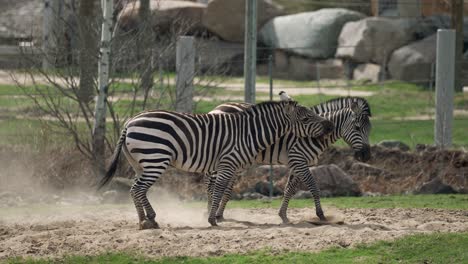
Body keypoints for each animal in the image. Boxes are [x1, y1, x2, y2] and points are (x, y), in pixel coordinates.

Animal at [98, 100, 334, 228]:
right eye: (305, 119)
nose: (330, 126)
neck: (248, 133)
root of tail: (129, 122)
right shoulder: (228, 162)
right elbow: (219, 189)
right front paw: (212, 219)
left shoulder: (228, 165)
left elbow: (219, 191)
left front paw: (213, 215)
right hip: (155, 159)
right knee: (138, 189)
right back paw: (145, 221)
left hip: (140, 163)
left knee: (136, 189)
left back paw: (148, 220)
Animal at [207, 95, 372, 223]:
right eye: (357, 128)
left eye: (370, 129)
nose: (366, 156)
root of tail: (218, 106)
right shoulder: (298, 159)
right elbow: (313, 186)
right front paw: (321, 215)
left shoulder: (298, 163)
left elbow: (289, 189)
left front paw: (283, 215)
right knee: (211, 182)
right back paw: (209, 212)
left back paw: (219, 215)